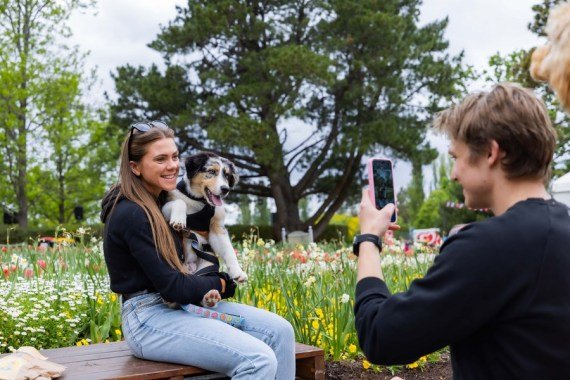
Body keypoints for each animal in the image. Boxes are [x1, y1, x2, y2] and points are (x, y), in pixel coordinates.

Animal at [161, 151, 247, 306]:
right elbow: (180, 201)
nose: (225, 189)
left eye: (227, 175)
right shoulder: (166, 205)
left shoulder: (217, 227)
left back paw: (210, 298)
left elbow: (228, 250)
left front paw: (238, 272)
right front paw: (179, 220)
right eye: (211, 172)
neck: (199, 201)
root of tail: (191, 269)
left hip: (207, 265)